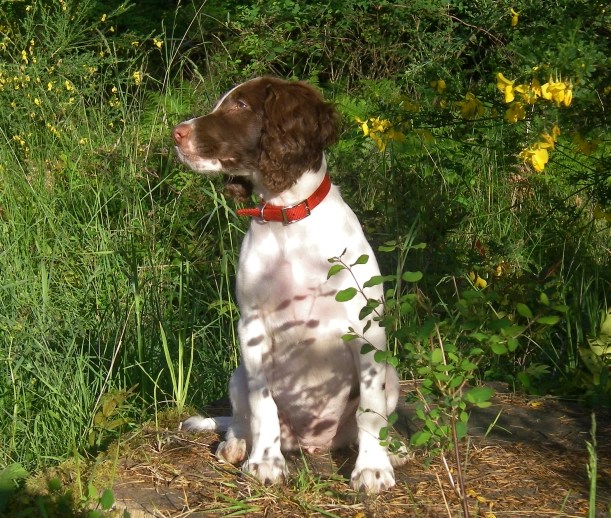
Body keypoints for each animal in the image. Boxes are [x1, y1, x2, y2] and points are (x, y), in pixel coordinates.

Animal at [173, 77, 403, 492]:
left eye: (241, 105)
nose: (176, 133)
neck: (288, 220)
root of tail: (314, 443)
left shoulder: (367, 328)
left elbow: (370, 410)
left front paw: (373, 468)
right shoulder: (252, 328)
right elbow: (263, 405)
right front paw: (265, 461)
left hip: (390, 371)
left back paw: (392, 448)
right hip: (237, 374)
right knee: (243, 418)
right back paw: (236, 445)